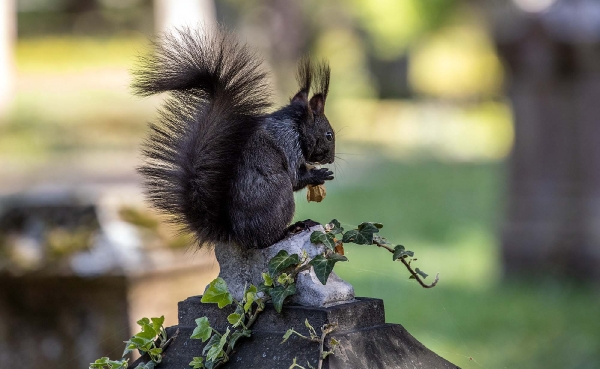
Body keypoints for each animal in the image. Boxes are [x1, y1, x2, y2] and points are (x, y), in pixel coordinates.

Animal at [133, 28, 336, 247]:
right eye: (329, 135)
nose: (331, 159)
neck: (294, 125)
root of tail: (237, 235)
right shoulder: (289, 143)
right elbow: (296, 177)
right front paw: (319, 174)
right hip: (280, 193)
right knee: (267, 239)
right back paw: (292, 228)